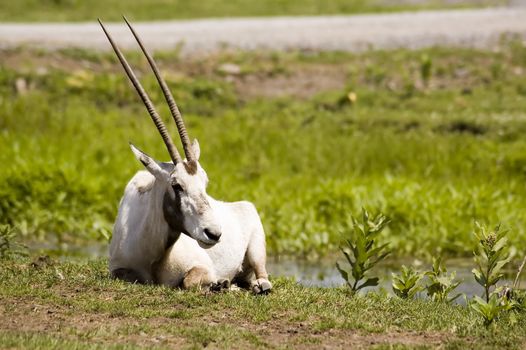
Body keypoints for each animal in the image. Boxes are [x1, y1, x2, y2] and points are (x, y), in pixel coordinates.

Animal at [100, 17, 272, 294]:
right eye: (176, 185)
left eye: (205, 182)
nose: (214, 234)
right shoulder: (118, 269)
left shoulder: (202, 266)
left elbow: (190, 280)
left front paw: (222, 285)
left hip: (257, 251)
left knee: (262, 276)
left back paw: (251, 285)